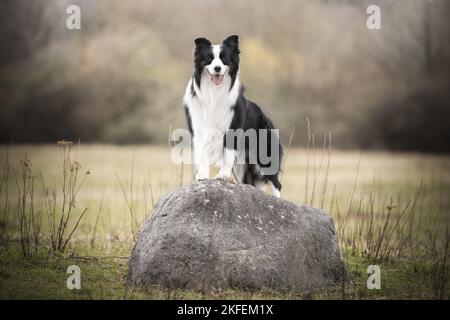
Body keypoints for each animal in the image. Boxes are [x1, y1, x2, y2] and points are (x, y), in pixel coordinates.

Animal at [182, 34, 282, 195]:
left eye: (225, 59)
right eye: (209, 58)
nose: (217, 68)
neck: (214, 92)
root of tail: (267, 118)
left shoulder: (231, 129)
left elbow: (227, 154)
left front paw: (222, 176)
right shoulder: (199, 128)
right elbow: (202, 154)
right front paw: (202, 175)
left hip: (264, 155)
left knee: (276, 183)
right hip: (243, 165)